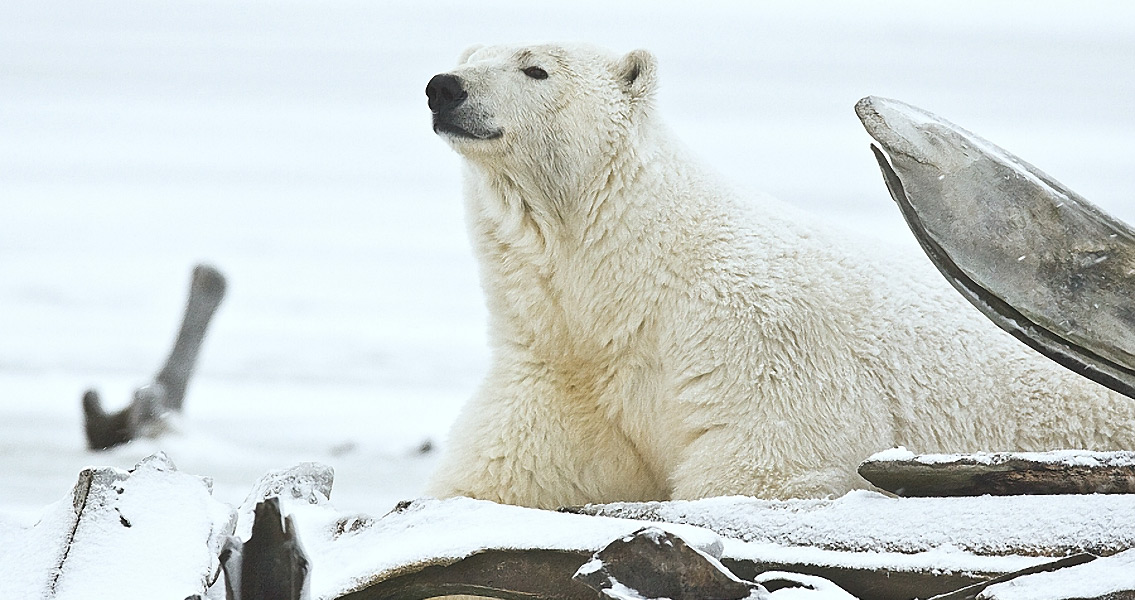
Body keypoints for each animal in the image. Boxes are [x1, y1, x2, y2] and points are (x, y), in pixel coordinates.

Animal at [424, 44, 1135, 508]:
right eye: (471, 51)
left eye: (535, 67)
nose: (444, 87)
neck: (634, 287)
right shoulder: (562, 367)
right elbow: (511, 468)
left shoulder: (757, 339)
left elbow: (768, 466)